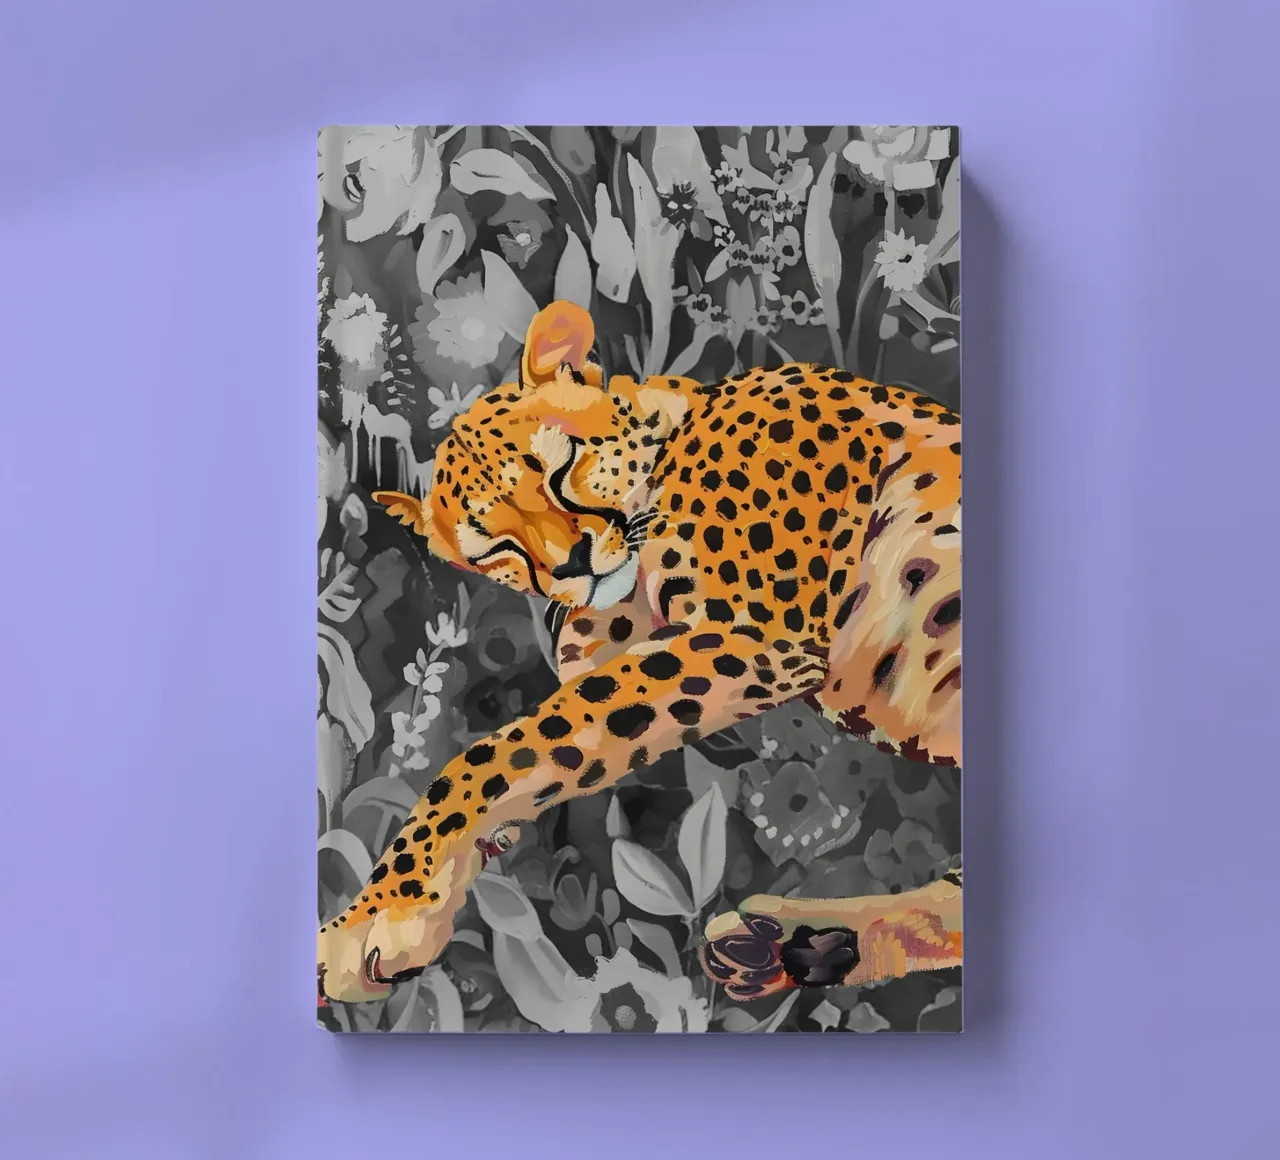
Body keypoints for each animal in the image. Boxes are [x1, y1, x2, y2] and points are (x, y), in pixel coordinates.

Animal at [318, 300, 963, 1006]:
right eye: (494, 550)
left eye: (561, 464)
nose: (570, 563)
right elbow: (552, 741)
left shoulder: (749, 635)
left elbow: (496, 754)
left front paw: (379, 914)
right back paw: (792, 945)